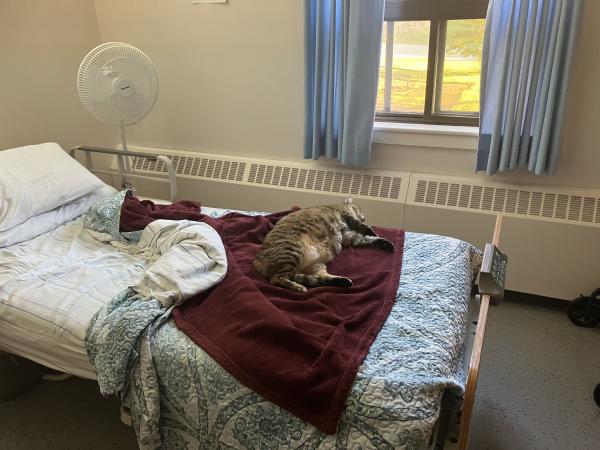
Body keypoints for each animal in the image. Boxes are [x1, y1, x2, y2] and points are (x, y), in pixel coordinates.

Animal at [252, 197, 394, 292]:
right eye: (360, 209)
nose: (364, 217)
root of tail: (257, 259)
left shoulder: (348, 237)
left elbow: (367, 239)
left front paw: (384, 242)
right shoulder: (348, 218)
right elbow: (364, 228)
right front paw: (372, 230)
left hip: (315, 265)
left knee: (316, 278)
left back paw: (342, 281)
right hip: (291, 252)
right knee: (276, 279)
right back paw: (299, 287)